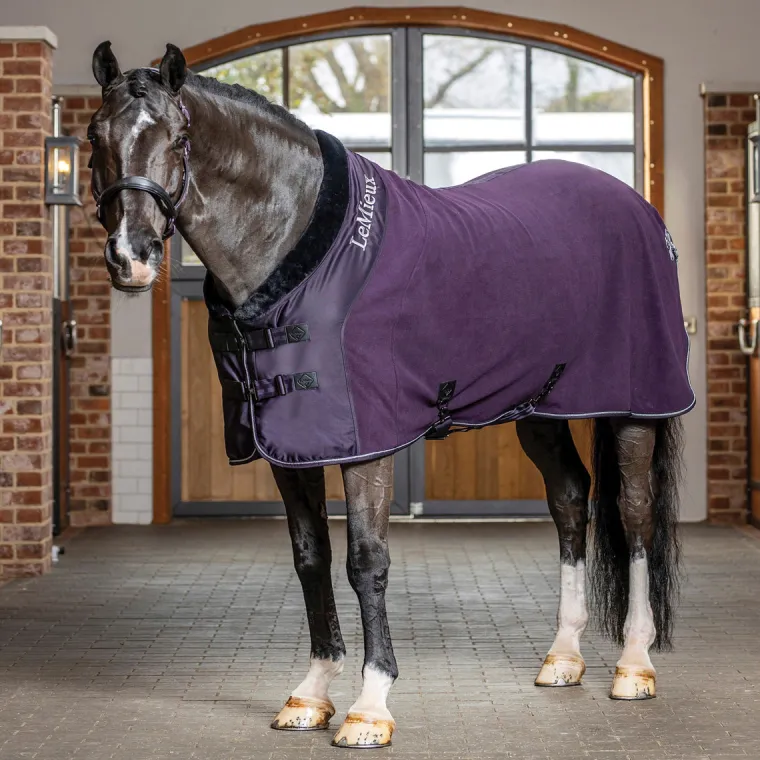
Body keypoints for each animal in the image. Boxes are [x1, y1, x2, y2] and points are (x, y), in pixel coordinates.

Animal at [89, 41, 694, 749]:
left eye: (179, 138)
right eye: (95, 135)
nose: (131, 257)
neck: (299, 252)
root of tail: (639, 211)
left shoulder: (365, 446)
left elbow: (364, 561)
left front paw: (370, 706)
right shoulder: (289, 446)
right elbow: (311, 558)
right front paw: (312, 694)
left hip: (634, 408)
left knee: (634, 516)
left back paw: (634, 664)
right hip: (540, 408)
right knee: (572, 500)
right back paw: (563, 657)